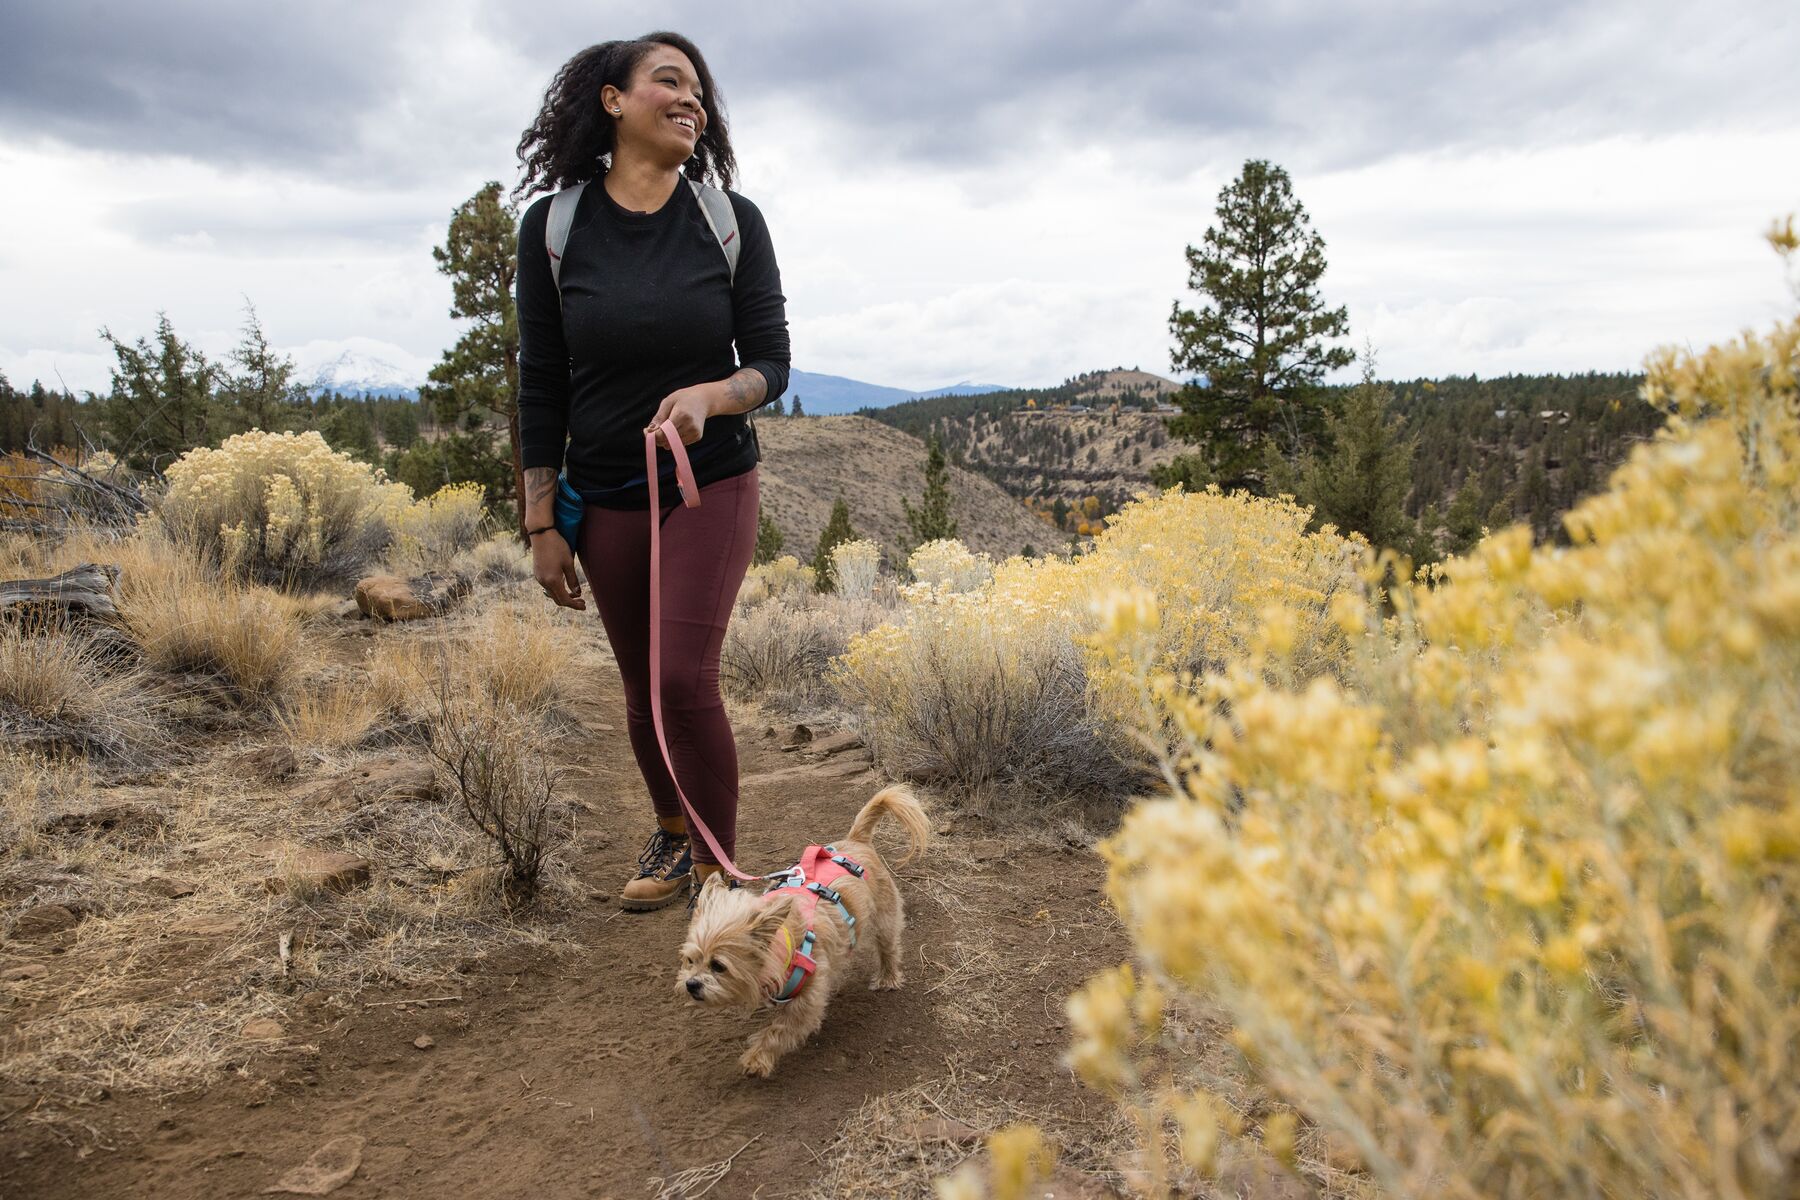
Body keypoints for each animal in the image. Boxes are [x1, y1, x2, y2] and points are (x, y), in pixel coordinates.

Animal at [676, 788, 928, 1079]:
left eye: (718, 966)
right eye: (690, 960)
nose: (691, 984)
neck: (787, 943)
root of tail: (857, 840)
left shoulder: (807, 1000)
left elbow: (779, 1030)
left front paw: (756, 1059)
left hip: (885, 917)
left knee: (888, 946)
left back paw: (887, 977)